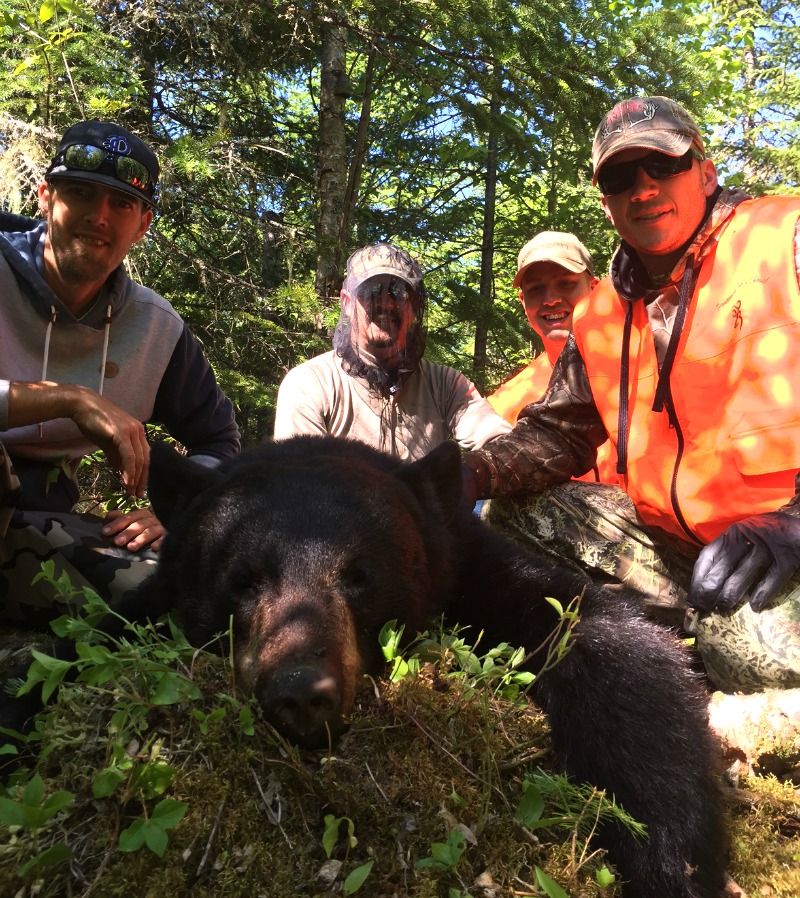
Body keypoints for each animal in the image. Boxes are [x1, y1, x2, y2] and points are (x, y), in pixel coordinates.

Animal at [2, 435, 726, 897]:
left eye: (360, 575)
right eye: (243, 578)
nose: (301, 691)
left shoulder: (471, 570)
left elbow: (609, 647)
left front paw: (669, 860)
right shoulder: (146, 607)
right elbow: (63, 660)